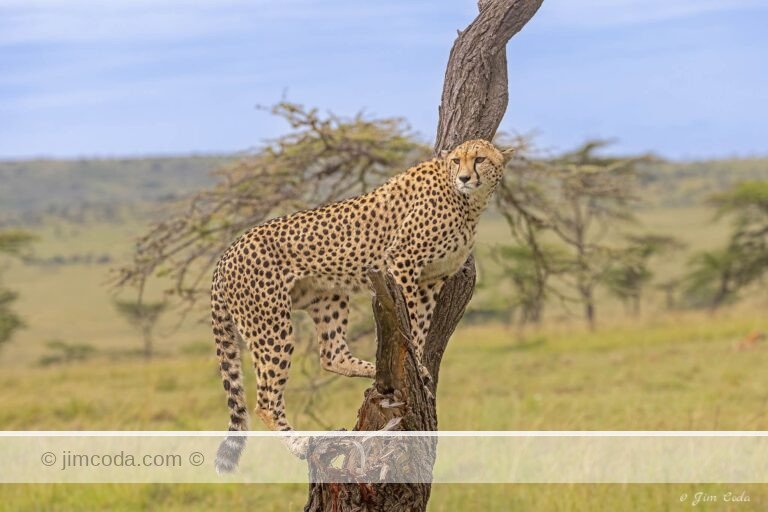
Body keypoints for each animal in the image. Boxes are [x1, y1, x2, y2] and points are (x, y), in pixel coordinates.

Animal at [212, 139, 513, 472]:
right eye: (457, 161)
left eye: (480, 159)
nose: (464, 177)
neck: (468, 203)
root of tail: (227, 252)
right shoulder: (403, 264)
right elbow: (409, 320)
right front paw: (417, 363)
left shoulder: (432, 280)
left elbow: (420, 325)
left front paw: (419, 367)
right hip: (271, 325)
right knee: (266, 400)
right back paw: (300, 443)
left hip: (327, 296)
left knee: (332, 355)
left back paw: (375, 372)